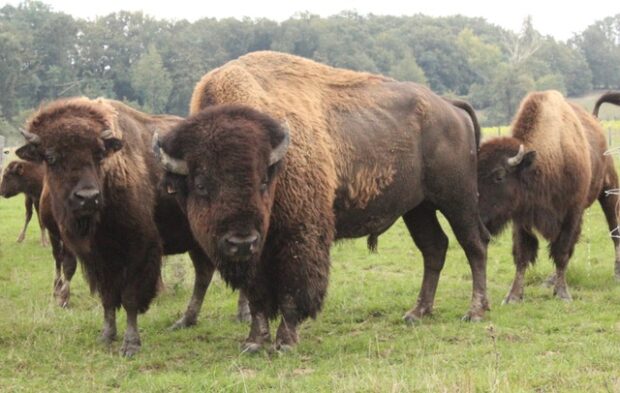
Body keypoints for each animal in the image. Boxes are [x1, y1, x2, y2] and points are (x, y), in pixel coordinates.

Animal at [15, 98, 247, 356]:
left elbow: (129, 298)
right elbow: (107, 298)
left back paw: (241, 316)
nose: (88, 197)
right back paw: (185, 321)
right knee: (204, 274)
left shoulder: (138, 250)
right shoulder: (100, 259)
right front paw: (106, 335)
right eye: (51, 157)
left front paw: (131, 344)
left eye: (98, 153)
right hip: (197, 242)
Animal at [154, 50, 490, 350]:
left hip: (457, 200)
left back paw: (474, 311)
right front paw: (254, 342)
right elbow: (257, 294)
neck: (278, 159)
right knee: (434, 248)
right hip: (418, 208)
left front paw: (286, 342)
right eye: (200, 185)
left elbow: (294, 290)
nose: (241, 241)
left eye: (264, 181)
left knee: (474, 245)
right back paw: (417, 313)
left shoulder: (299, 236)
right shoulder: (257, 253)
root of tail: (449, 105)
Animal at [478, 89, 616, 304]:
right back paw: (550, 280)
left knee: (613, 230)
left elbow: (561, 252)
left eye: (499, 176)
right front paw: (513, 296)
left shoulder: (571, 214)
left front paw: (563, 293)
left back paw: (616, 273)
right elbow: (522, 255)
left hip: (609, 191)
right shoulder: (521, 219)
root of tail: (596, 122)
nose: (477, 217)